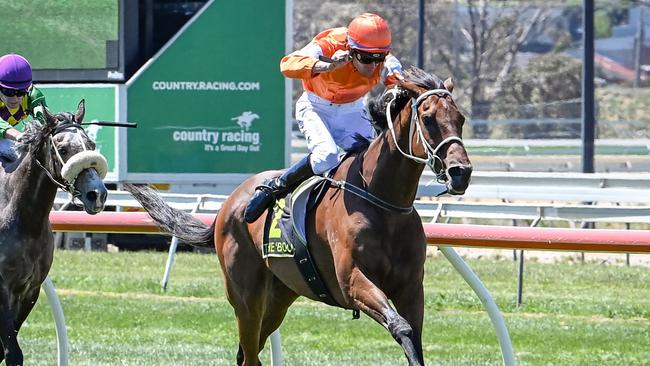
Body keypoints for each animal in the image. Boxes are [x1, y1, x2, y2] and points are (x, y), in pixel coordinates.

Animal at [0, 100, 107, 366]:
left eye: (91, 145)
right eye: (63, 148)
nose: (97, 194)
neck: (26, 221)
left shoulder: (30, 290)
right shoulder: (2, 288)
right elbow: (12, 352)